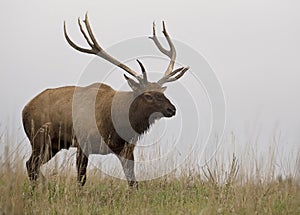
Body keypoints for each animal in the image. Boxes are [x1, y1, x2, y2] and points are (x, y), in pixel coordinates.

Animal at [22, 13, 189, 188]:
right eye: (148, 95)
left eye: (162, 92)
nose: (172, 109)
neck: (116, 123)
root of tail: (25, 109)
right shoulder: (83, 143)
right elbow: (81, 178)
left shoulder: (127, 149)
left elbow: (133, 182)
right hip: (39, 138)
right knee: (31, 164)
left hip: (55, 144)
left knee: (31, 165)